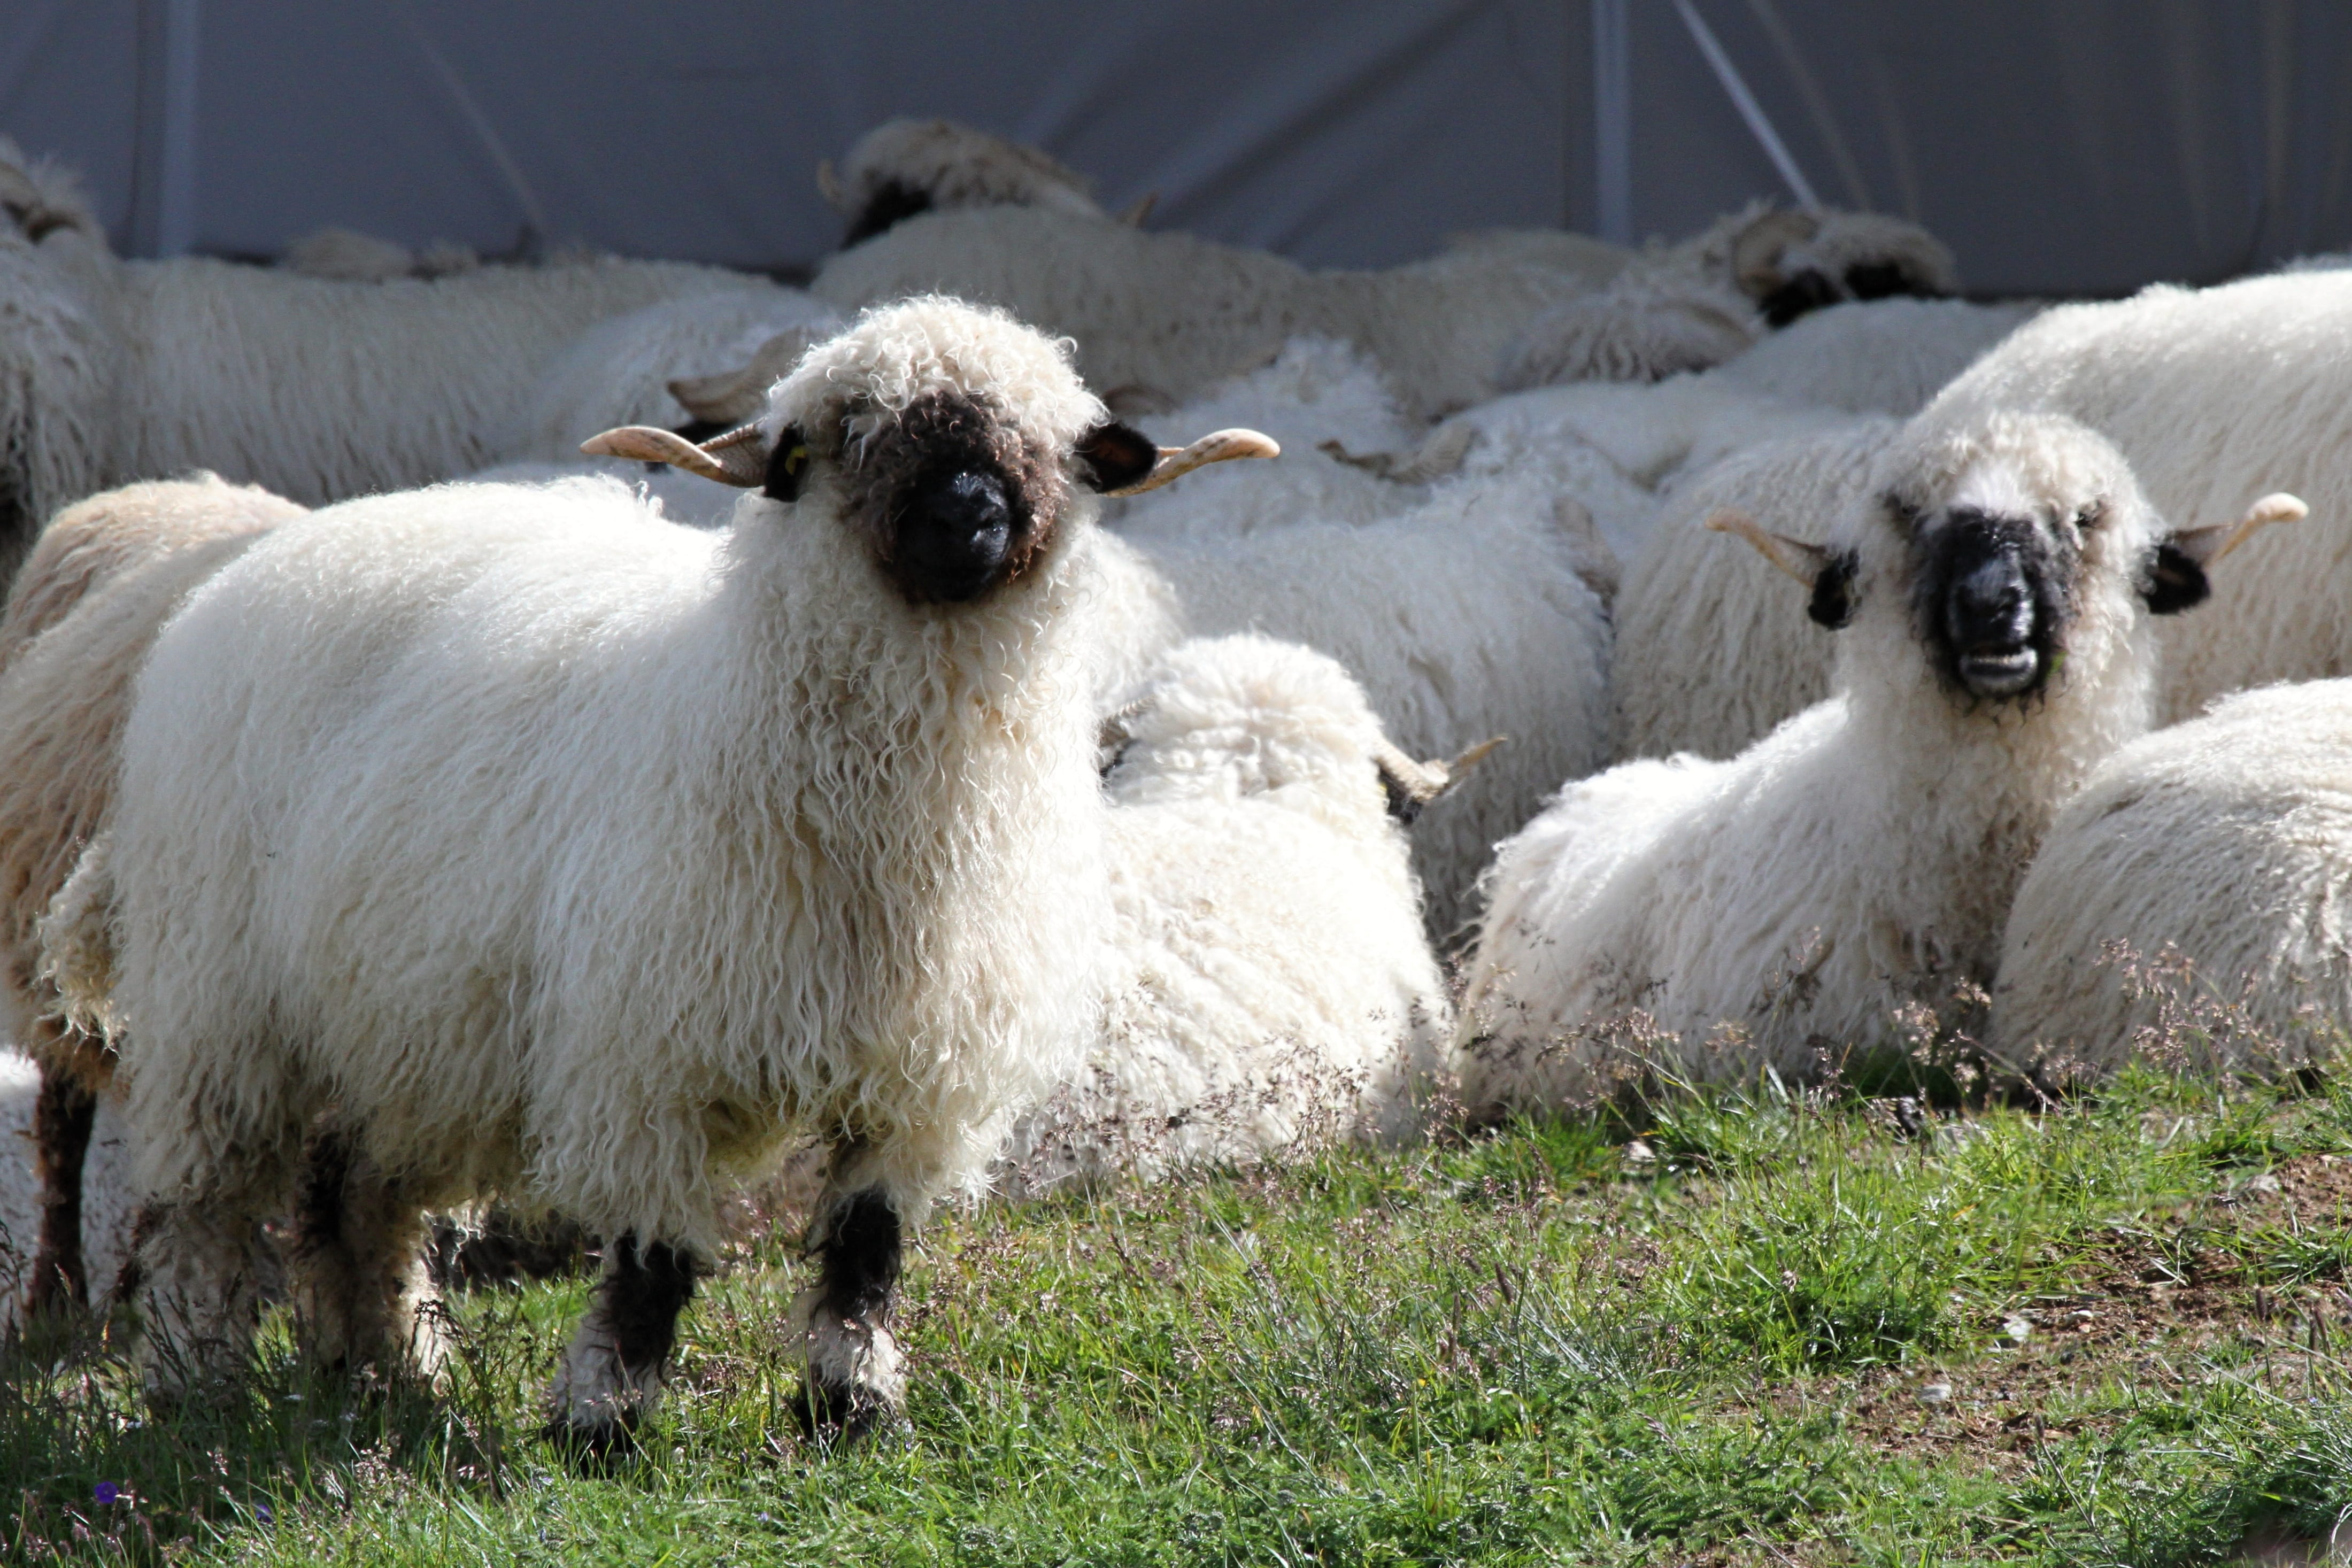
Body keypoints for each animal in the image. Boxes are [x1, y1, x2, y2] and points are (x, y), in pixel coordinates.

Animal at [48, 298, 1273, 1446]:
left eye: (1048, 439)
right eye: (848, 433)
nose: (969, 515)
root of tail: (250, 568)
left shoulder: (914, 1070)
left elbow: (867, 1246)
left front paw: (851, 1404)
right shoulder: (649, 1052)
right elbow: (650, 1257)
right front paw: (603, 1421)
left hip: (402, 1023)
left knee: (361, 1200)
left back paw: (389, 1371)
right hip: (223, 1012)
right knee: (204, 1213)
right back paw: (195, 1384)